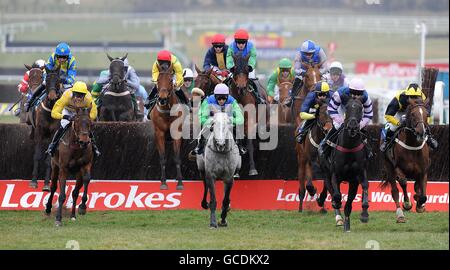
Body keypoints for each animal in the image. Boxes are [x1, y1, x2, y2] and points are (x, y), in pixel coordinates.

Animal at [149, 61, 188, 190]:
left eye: (171, 80)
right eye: (158, 80)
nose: (162, 99)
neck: (167, 112)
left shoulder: (177, 133)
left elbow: (177, 157)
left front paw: (180, 182)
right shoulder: (159, 133)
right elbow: (162, 158)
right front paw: (163, 182)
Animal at [324, 98, 370, 232]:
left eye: (360, 108)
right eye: (347, 107)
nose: (353, 126)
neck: (349, 147)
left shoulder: (358, 176)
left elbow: (365, 186)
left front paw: (364, 214)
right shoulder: (335, 174)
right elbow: (337, 194)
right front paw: (336, 202)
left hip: (352, 183)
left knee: (348, 205)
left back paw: (346, 226)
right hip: (326, 174)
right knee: (331, 190)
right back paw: (338, 216)